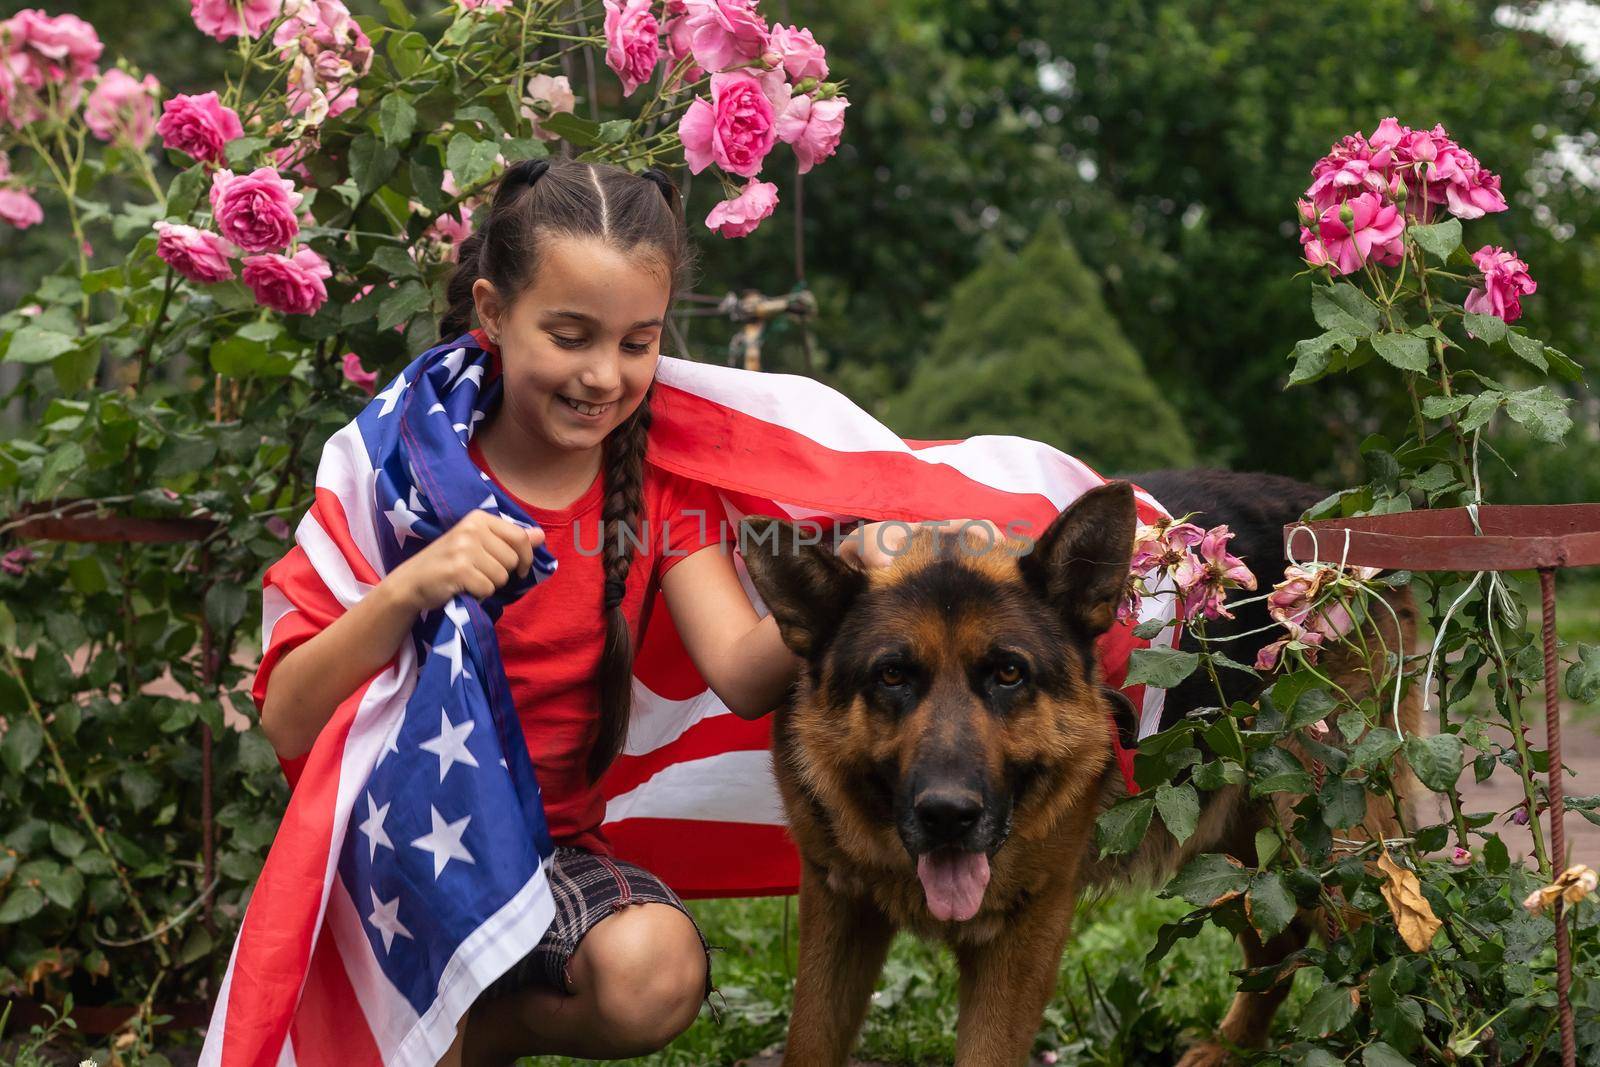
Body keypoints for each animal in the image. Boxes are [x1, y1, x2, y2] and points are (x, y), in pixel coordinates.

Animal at [739, 470, 1427, 1062]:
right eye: (891, 676)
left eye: (1009, 673)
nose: (947, 817)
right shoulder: (837, 905)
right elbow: (809, 1042)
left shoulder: (1025, 933)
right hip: (1242, 847)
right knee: (1281, 941)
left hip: (1331, 849)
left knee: (1395, 963)